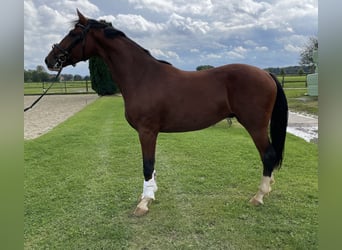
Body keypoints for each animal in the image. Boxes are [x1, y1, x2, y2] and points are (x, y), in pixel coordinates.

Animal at [44, 10, 288, 216]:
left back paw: (259, 196)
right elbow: (152, 167)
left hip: (255, 125)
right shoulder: (150, 133)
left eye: (73, 34)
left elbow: (147, 165)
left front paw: (143, 203)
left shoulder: (147, 131)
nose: (49, 59)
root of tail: (266, 74)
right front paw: (151, 194)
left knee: (268, 155)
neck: (142, 76)